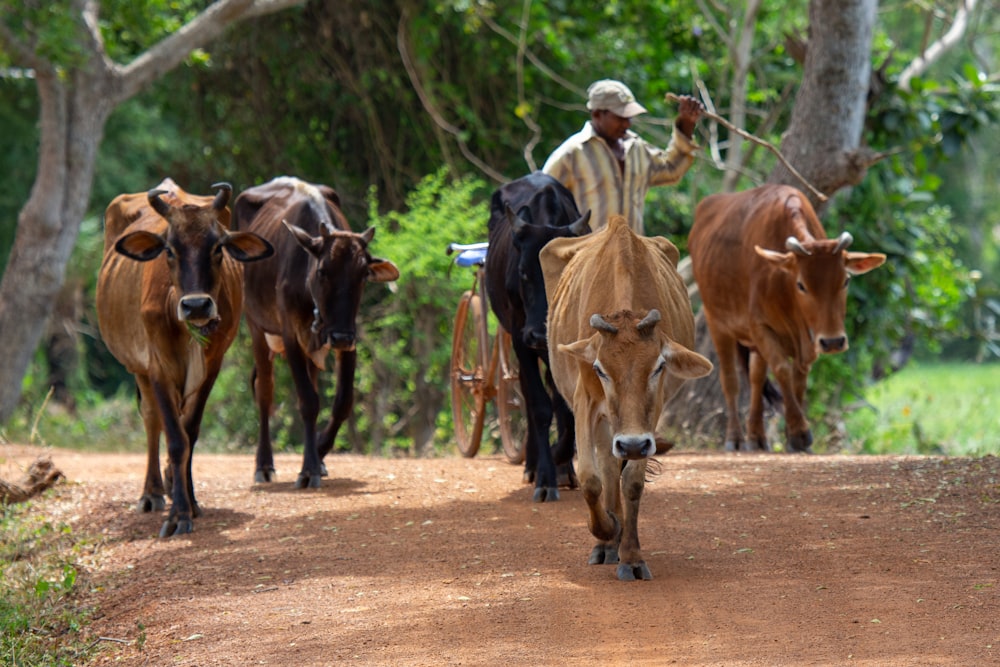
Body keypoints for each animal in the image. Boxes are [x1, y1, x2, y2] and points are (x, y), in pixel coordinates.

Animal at [96, 177, 274, 536]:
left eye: (218, 247)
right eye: (169, 249)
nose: (196, 306)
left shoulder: (212, 367)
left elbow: (189, 433)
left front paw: (189, 503)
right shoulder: (157, 365)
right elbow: (175, 438)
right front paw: (177, 514)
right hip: (138, 367)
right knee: (152, 419)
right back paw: (152, 493)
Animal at [230, 177, 398, 490]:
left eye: (363, 275)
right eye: (323, 271)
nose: (339, 338)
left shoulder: (349, 339)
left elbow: (342, 402)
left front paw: (318, 454)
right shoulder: (291, 335)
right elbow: (307, 401)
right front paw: (308, 469)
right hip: (257, 328)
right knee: (265, 393)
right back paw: (264, 465)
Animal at [482, 172, 588, 500]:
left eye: (562, 274)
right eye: (523, 273)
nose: (539, 333)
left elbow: (567, 405)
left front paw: (561, 462)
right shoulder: (519, 337)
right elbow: (540, 406)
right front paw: (545, 476)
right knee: (530, 398)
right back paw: (532, 465)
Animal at [540, 215, 712, 580]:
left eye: (659, 366)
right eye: (600, 369)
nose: (632, 443)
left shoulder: (649, 417)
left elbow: (631, 481)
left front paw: (631, 555)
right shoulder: (585, 401)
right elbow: (590, 479)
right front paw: (607, 531)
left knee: (613, 466)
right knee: (605, 465)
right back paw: (607, 542)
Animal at [692, 183, 888, 454]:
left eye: (846, 280)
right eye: (801, 285)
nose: (833, 342)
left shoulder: (808, 340)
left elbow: (798, 379)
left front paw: (791, 435)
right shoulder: (760, 326)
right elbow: (783, 370)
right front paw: (799, 434)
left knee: (756, 377)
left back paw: (756, 436)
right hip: (717, 323)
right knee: (730, 380)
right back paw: (735, 437)